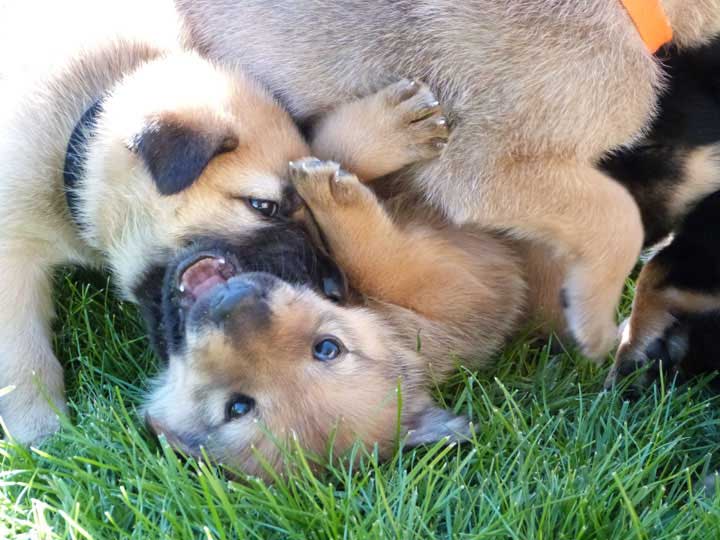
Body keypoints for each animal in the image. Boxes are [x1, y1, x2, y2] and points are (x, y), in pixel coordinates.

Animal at [0, 2, 450, 446]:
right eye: (263, 206)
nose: (334, 287)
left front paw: (382, 132)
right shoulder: (12, 252)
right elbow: (22, 350)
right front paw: (41, 429)